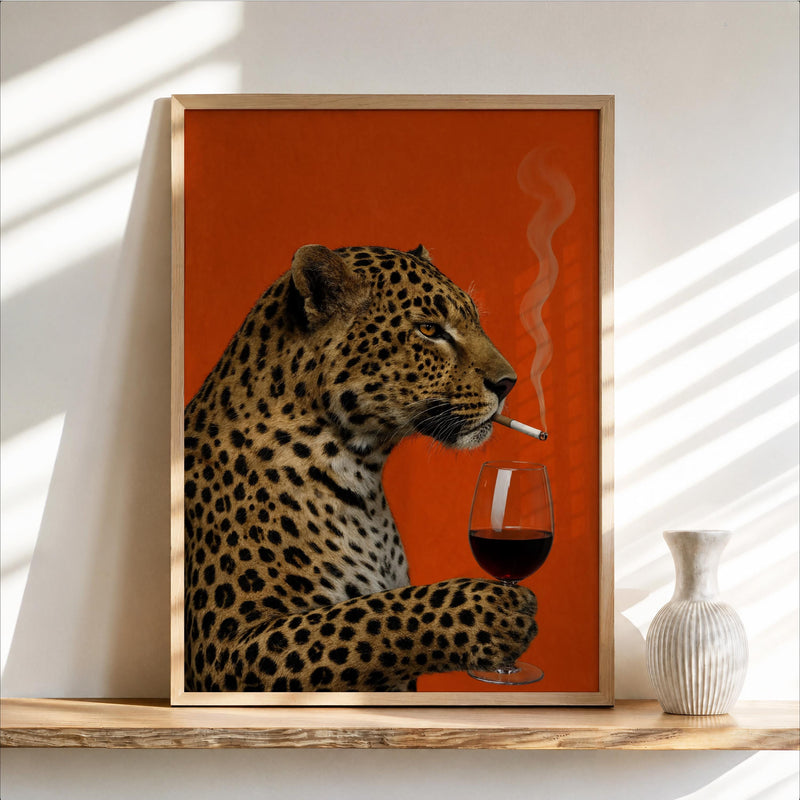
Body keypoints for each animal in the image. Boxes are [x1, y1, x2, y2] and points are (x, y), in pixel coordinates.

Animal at [184, 243, 538, 692]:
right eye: (428, 329)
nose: (508, 383)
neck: (363, 473)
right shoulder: (226, 647)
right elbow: (370, 615)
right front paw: (492, 610)